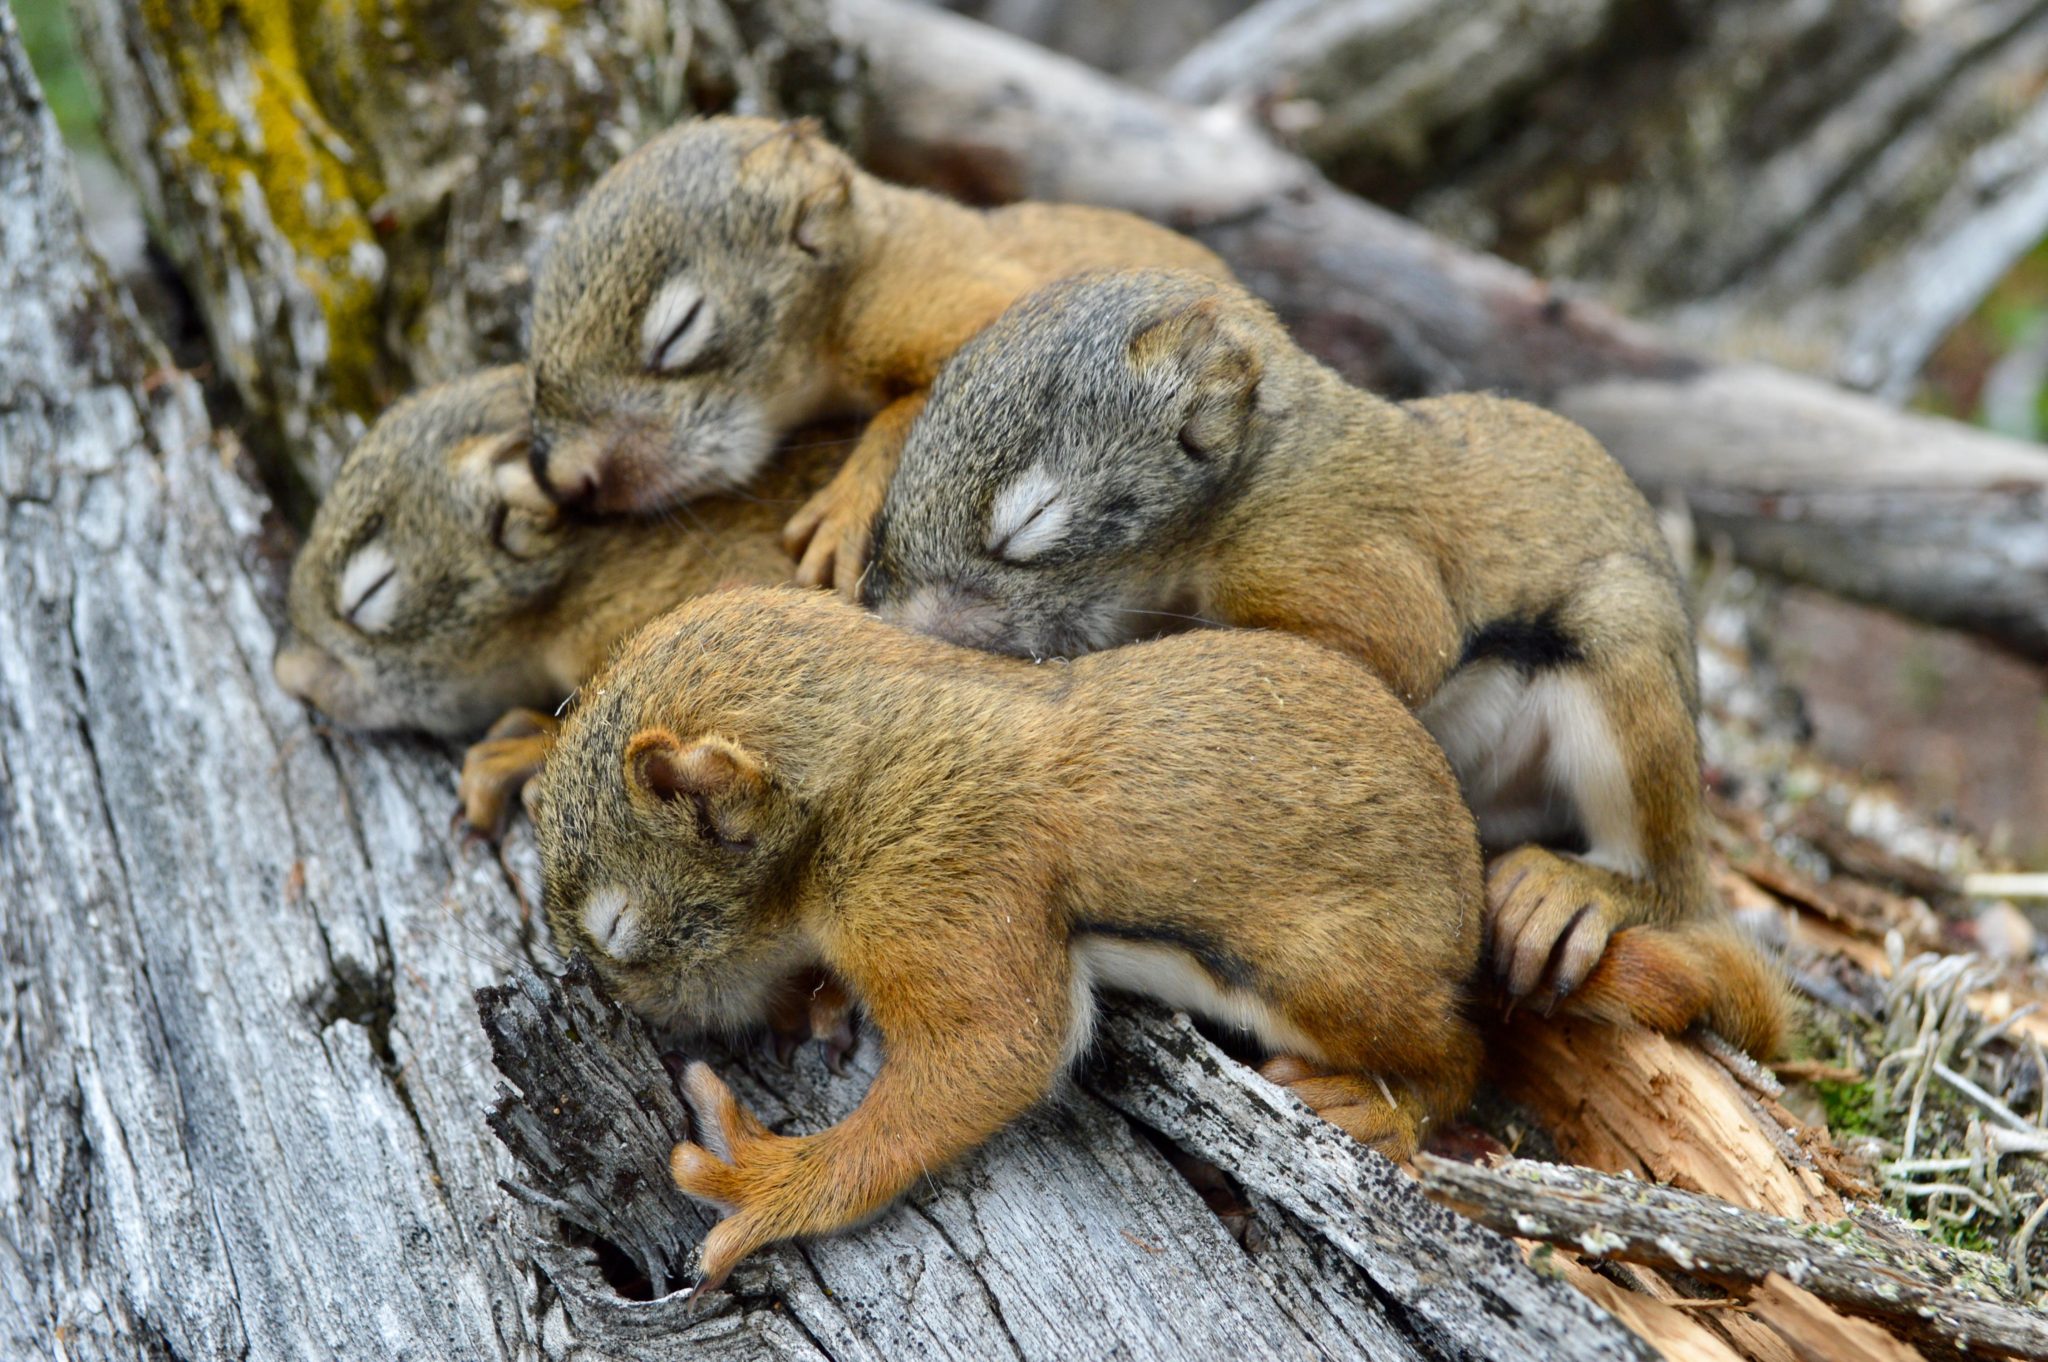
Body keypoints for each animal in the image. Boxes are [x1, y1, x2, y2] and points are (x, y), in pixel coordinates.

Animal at [531, 586, 1487, 1292]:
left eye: (619, 928)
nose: (634, 1012)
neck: (866, 757)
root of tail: (1467, 891)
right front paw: (816, 999)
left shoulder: (936, 877)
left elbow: (997, 1046)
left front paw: (771, 1182)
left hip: (1331, 977)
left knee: (1458, 1060)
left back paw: (1379, 1106)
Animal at [858, 269, 1789, 1058]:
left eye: (1028, 524)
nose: (903, 623)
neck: (1254, 479)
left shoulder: (1331, 557)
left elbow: (1379, 651)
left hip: (1625, 674)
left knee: (1664, 879)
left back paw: (1581, 891)